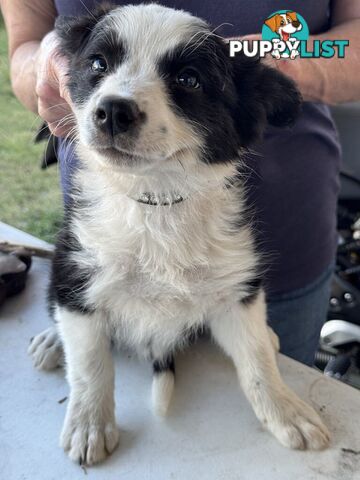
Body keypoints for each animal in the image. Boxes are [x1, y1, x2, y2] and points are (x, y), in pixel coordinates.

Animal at [29, 2, 330, 464]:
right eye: (98, 64)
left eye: (189, 80)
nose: (112, 111)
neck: (157, 202)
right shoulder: (77, 270)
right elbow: (91, 363)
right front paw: (90, 423)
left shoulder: (237, 284)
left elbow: (257, 360)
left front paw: (285, 409)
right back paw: (50, 340)